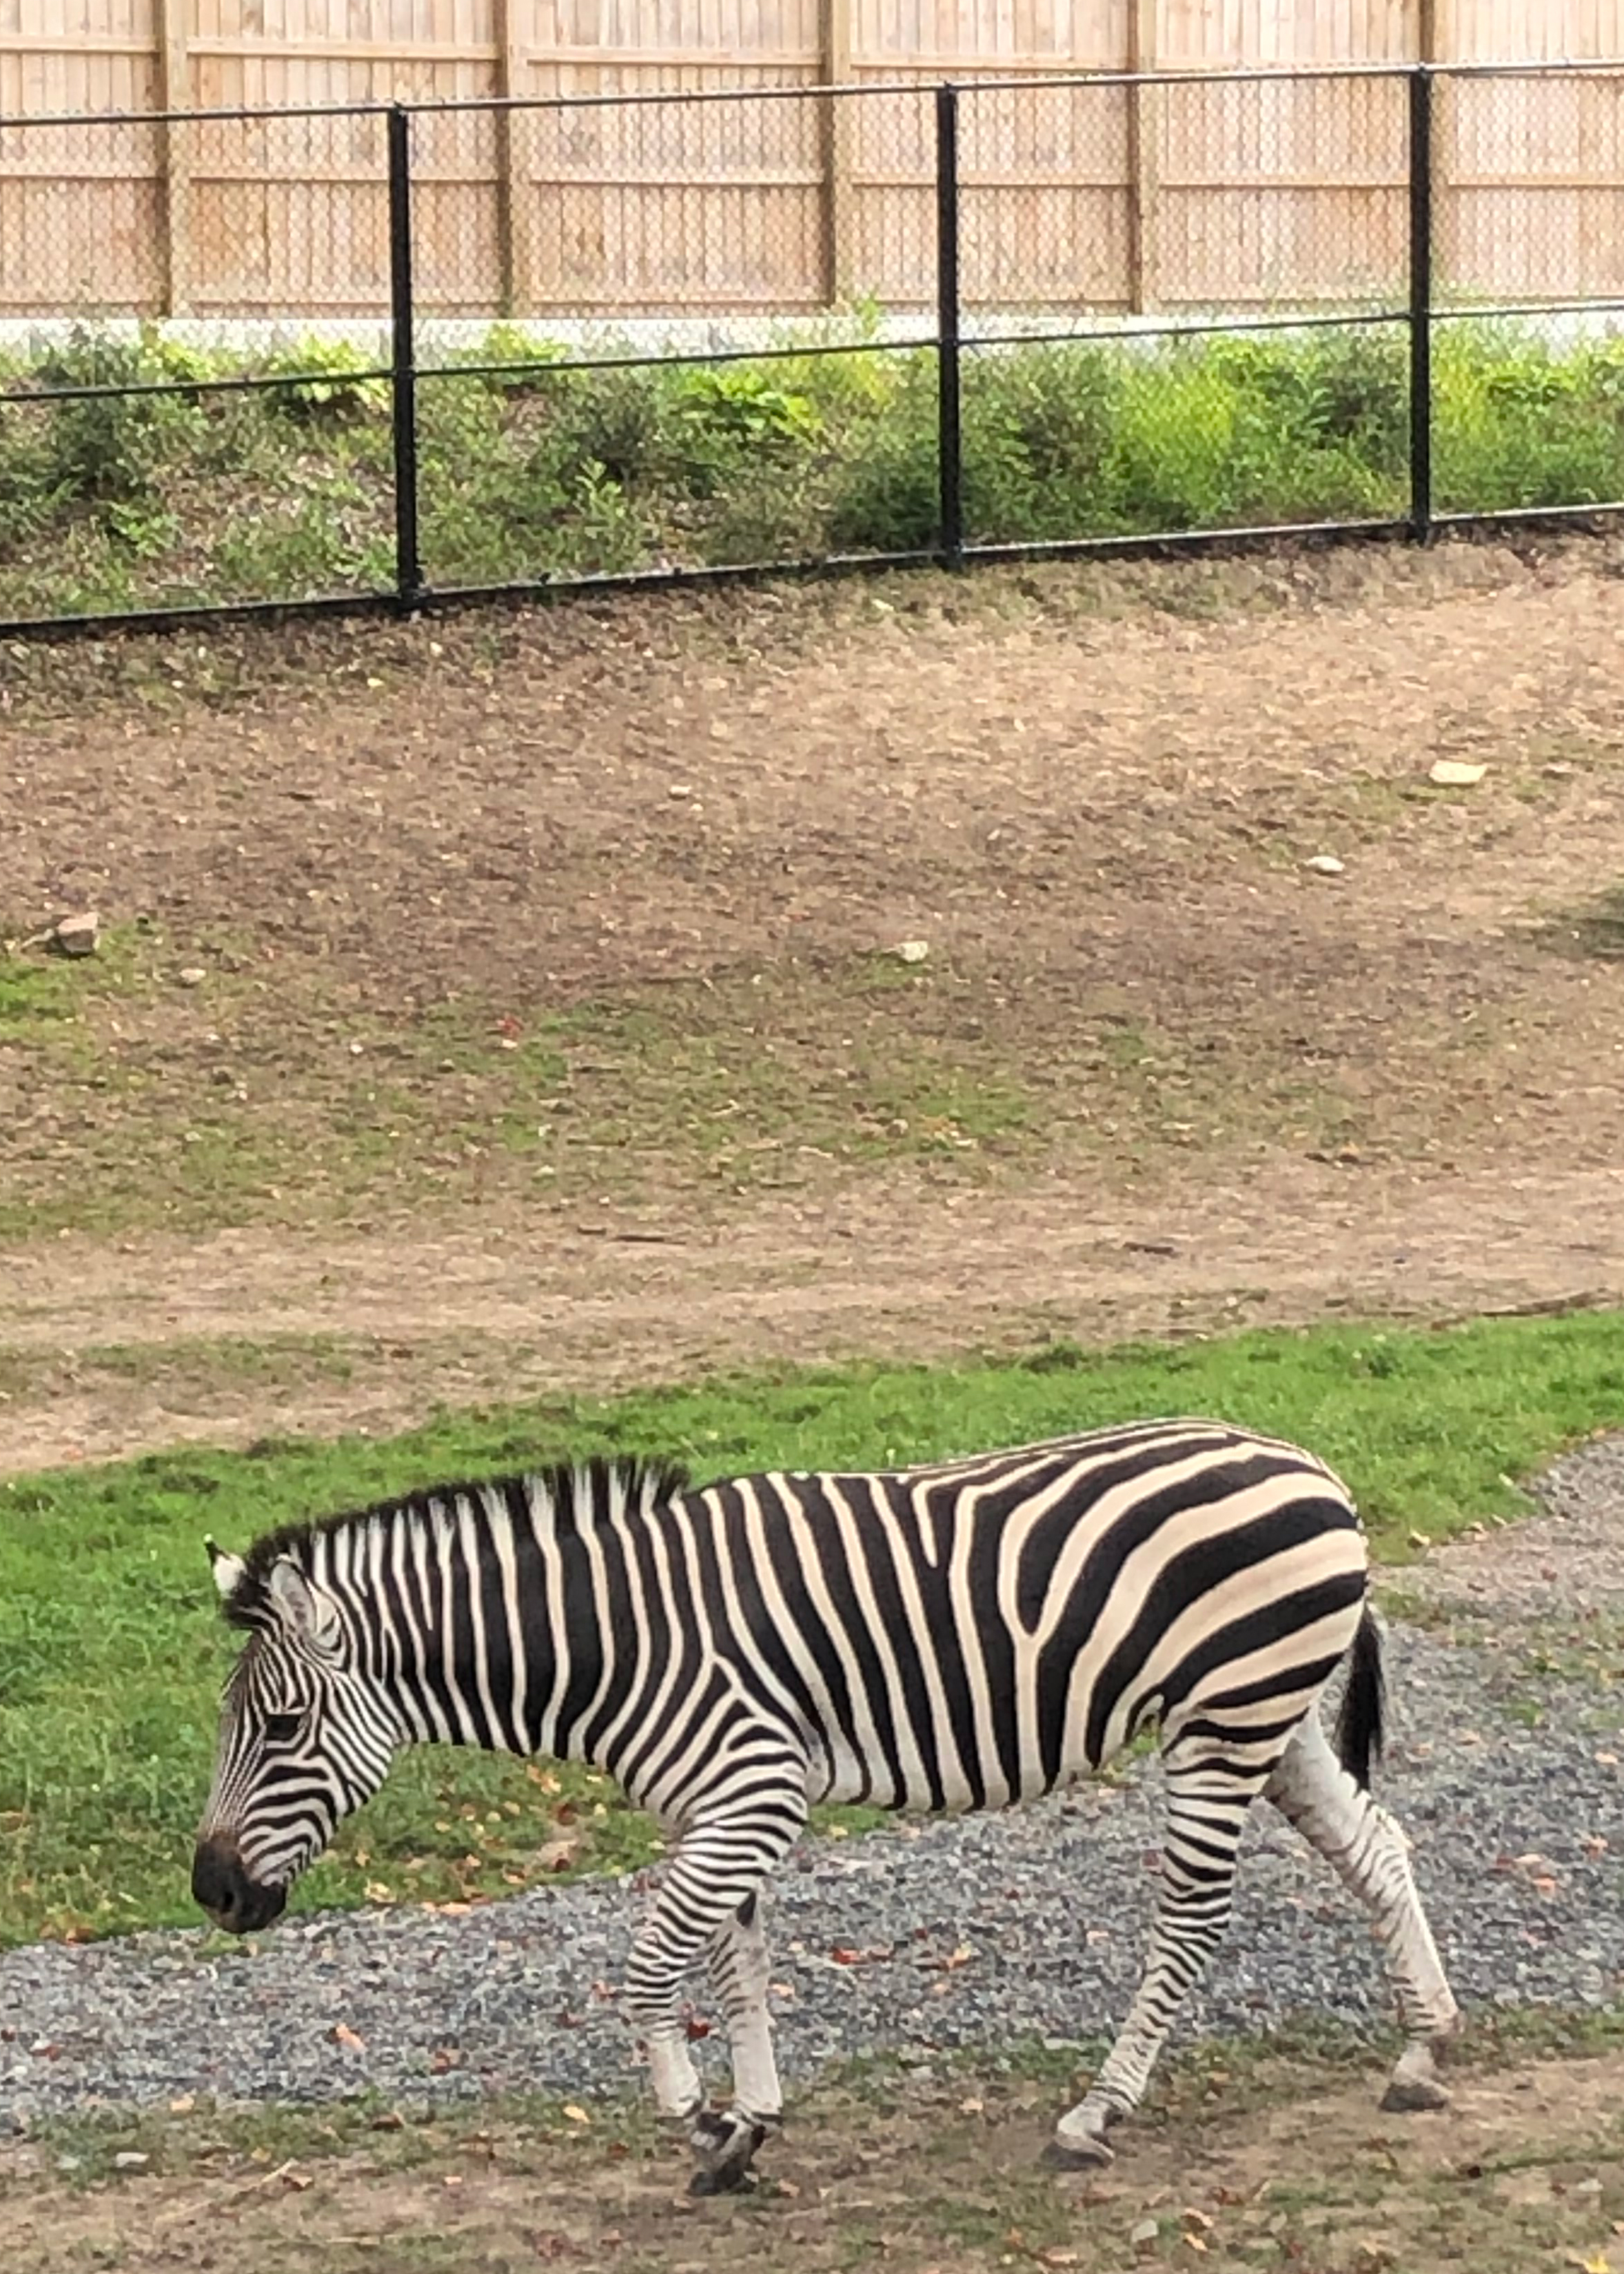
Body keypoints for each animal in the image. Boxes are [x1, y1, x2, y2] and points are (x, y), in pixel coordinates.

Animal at [195, 1418, 1465, 2183]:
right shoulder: (713, 1806)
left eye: (281, 1728)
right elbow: (735, 1968)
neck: (618, 1639)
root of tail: (1313, 1467)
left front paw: (700, 2117)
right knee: (1379, 1845)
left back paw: (1098, 2110)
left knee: (1193, 1919)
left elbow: (652, 1970)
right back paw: (1421, 2049)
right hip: (1267, 1715)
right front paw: (748, 2125)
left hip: (1224, 1721)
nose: (209, 1890)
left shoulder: (754, 1789)